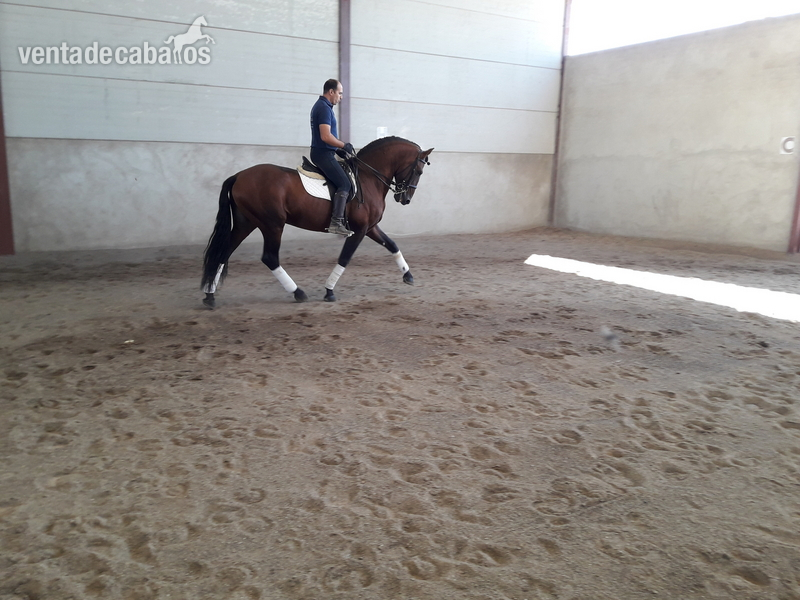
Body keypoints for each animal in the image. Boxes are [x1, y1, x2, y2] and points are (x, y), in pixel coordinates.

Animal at [200, 137, 434, 307]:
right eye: (419, 171)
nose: (405, 199)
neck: (368, 178)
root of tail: (239, 175)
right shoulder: (359, 230)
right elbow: (345, 258)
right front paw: (329, 291)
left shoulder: (370, 227)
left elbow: (392, 244)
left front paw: (408, 275)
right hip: (272, 224)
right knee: (269, 257)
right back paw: (298, 292)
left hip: (246, 222)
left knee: (224, 252)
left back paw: (210, 296)